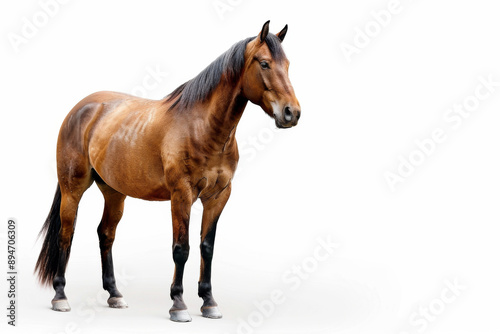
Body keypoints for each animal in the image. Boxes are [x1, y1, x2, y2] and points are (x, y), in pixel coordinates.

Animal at [36, 20, 300, 320]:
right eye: (265, 63)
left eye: (287, 65)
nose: (292, 113)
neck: (202, 127)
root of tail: (80, 108)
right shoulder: (181, 195)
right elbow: (181, 249)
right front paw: (178, 305)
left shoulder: (218, 196)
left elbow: (206, 248)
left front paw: (209, 302)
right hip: (73, 188)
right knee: (66, 235)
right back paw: (60, 296)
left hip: (114, 192)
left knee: (105, 234)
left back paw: (114, 294)